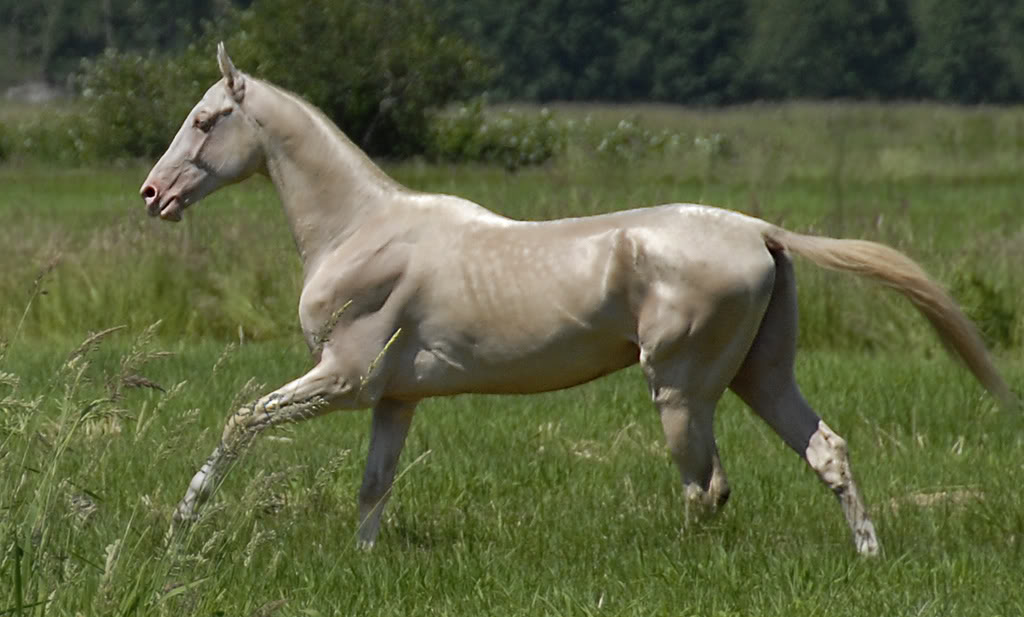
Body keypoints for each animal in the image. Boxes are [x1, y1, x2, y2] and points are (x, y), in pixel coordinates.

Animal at [140, 44, 1013, 555]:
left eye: (206, 119)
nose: (153, 195)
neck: (361, 229)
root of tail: (763, 232)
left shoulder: (344, 381)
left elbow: (241, 420)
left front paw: (181, 525)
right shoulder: (394, 398)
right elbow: (373, 487)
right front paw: (362, 565)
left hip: (681, 387)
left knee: (707, 487)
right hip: (759, 375)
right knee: (824, 450)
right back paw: (867, 554)